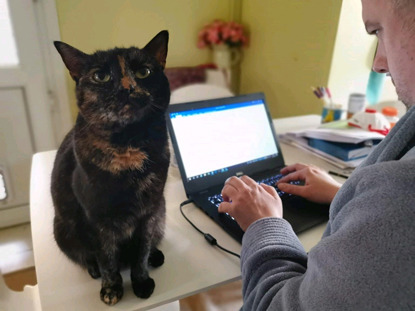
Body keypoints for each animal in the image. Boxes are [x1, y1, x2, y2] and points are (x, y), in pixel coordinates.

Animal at [51, 30, 171, 306]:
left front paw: (141, 281)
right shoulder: (95, 219)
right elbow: (106, 258)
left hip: (161, 213)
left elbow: (141, 251)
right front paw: (112, 289)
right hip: (62, 229)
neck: (128, 146)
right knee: (86, 257)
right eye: (101, 76)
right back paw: (93, 270)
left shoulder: (149, 212)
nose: (127, 88)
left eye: (144, 72)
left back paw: (156, 256)